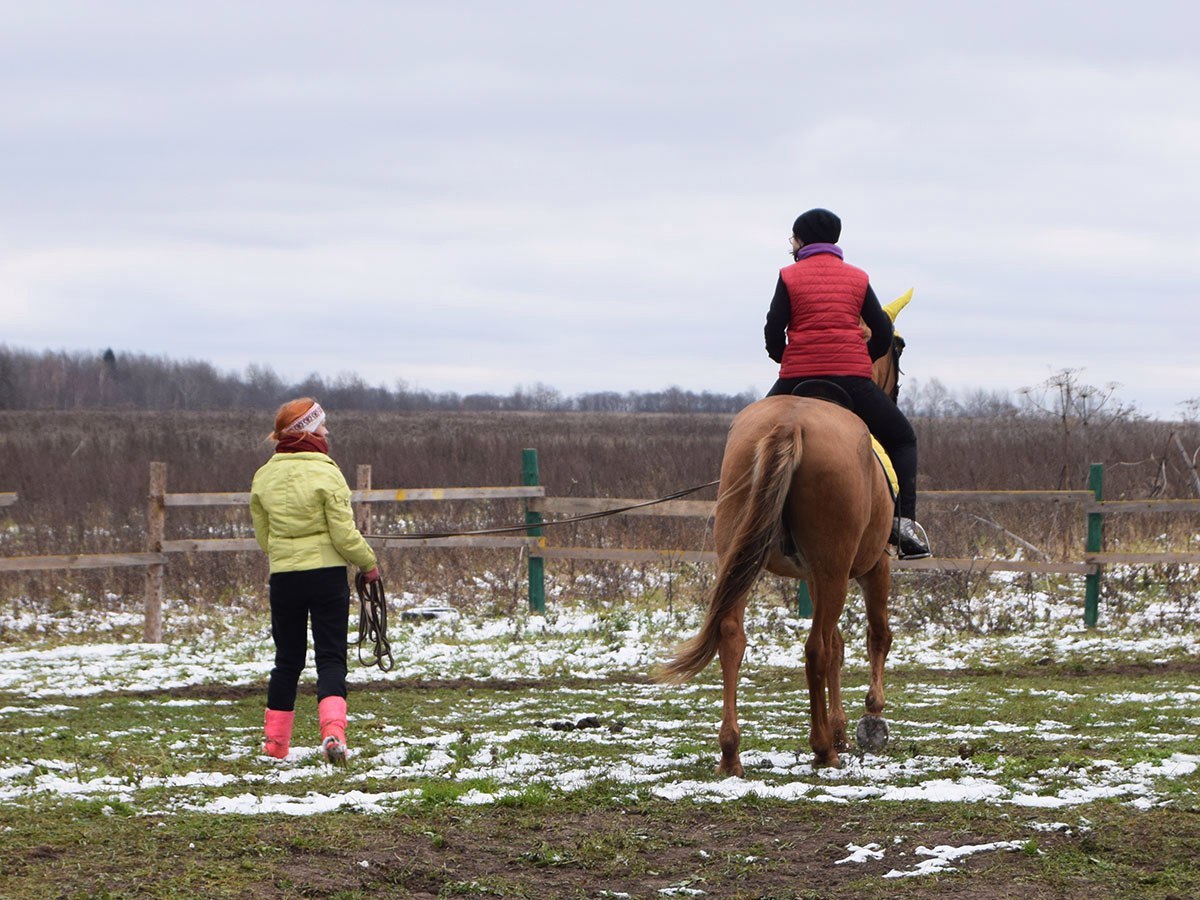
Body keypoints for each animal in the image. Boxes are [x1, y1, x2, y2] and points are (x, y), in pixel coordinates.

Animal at [657, 292, 907, 772]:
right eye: (898, 347)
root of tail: (791, 422)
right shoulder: (872, 567)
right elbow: (875, 636)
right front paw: (870, 718)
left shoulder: (814, 575)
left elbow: (842, 644)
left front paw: (843, 726)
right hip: (834, 569)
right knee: (817, 648)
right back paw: (822, 747)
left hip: (747, 556)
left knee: (732, 637)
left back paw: (731, 752)